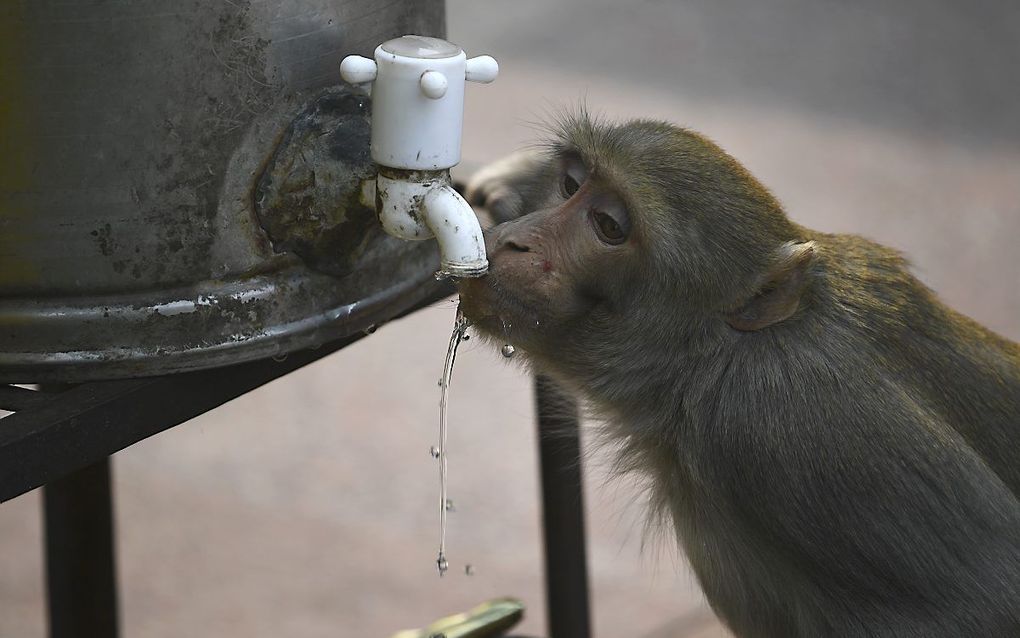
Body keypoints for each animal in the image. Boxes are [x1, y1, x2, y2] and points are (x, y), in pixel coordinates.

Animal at [459, 113, 1020, 636]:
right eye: (571, 184)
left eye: (609, 226)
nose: (517, 243)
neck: (709, 362)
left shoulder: (796, 424)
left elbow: (987, 599)